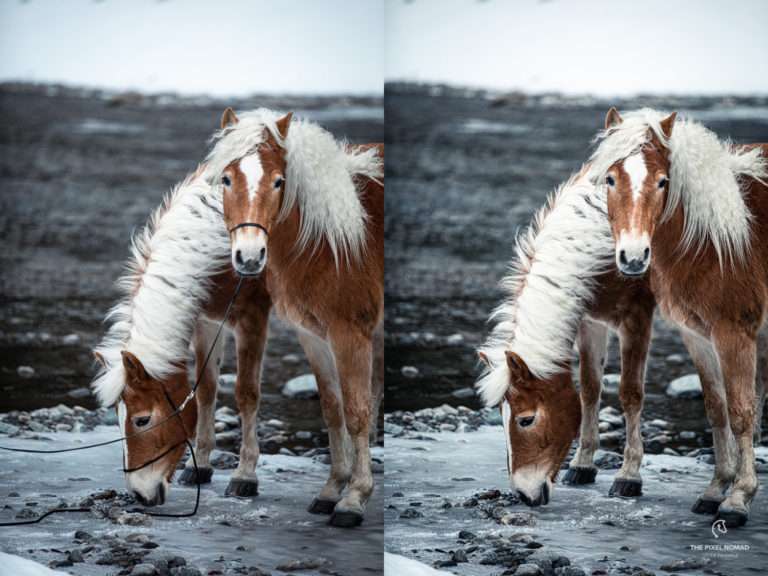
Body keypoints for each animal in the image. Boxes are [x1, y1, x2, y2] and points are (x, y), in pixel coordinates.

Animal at [204, 107, 384, 528]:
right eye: (227, 178)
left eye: (278, 181)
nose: (249, 257)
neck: (333, 244)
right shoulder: (313, 336)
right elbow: (333, 409)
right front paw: (332, 489)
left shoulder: (351, 335)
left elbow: (357, 412)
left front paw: (354, 498)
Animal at [474, 166, 744, 508]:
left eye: (526, 419)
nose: (523, 495)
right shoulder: (590, 321)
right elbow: (590, 389)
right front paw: (583, 465)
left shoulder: (635, 318)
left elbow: (630, 393)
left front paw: (628, 476)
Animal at [592, 104, 764, 528]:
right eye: (611, 178)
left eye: (662, 182)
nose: (633, 257)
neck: (716, 243)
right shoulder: (697, 335)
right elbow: (716, 408)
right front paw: (715, 489)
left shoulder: (735, 334)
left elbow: (741, 412)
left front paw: (739, 498)